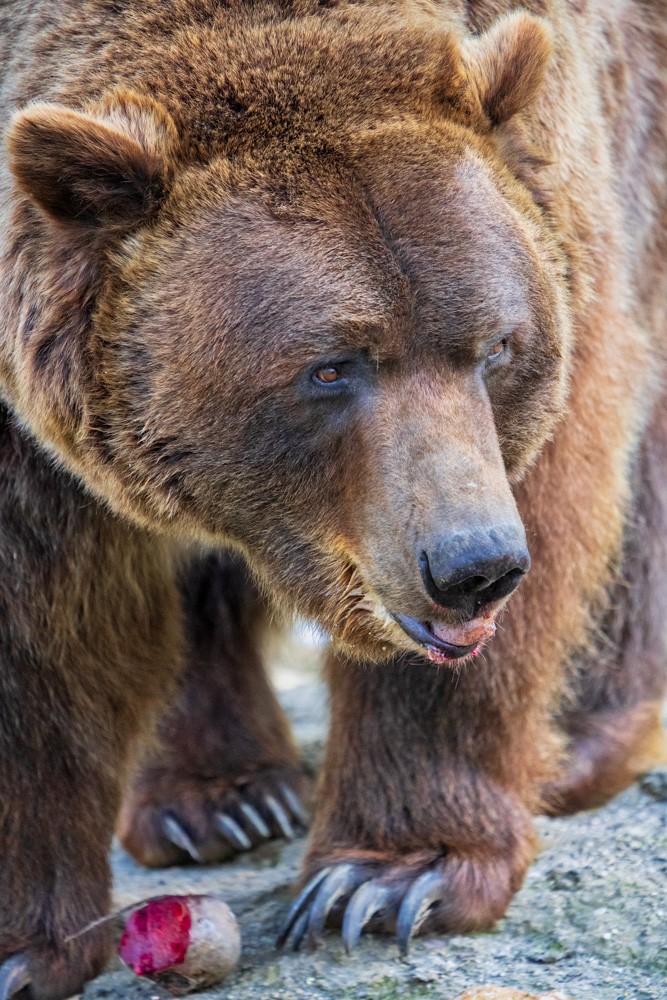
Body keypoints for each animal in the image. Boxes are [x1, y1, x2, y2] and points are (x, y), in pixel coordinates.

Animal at [0, 0, 664, 996]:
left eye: (497, 344)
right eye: (330, 366)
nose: (474, 566)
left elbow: (558, 468)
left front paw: (391, 878)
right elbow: (37, 618)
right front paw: (27, 944)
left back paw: (585, 738)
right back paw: (219, 801)